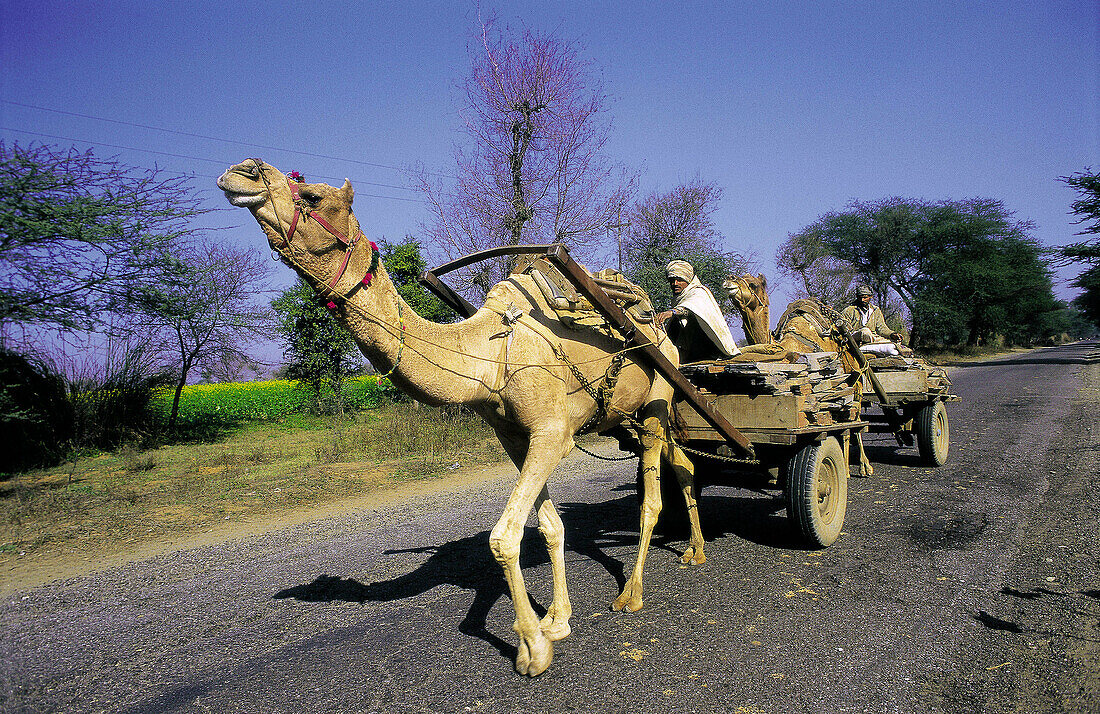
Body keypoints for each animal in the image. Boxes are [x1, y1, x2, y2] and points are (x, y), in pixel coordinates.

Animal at [216, 158, 704, 677]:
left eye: (312, 195)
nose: (242, 172)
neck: (491, 354)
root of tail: (660, 327)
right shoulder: (516, 437)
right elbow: (552, 527)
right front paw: (557, 621)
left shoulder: (552, 434)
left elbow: (503, 538)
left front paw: (532, 649)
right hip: (628, 417)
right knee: (683, 462)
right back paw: (695, 549)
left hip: (657, 396)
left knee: (651, 495)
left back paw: (632, 593)